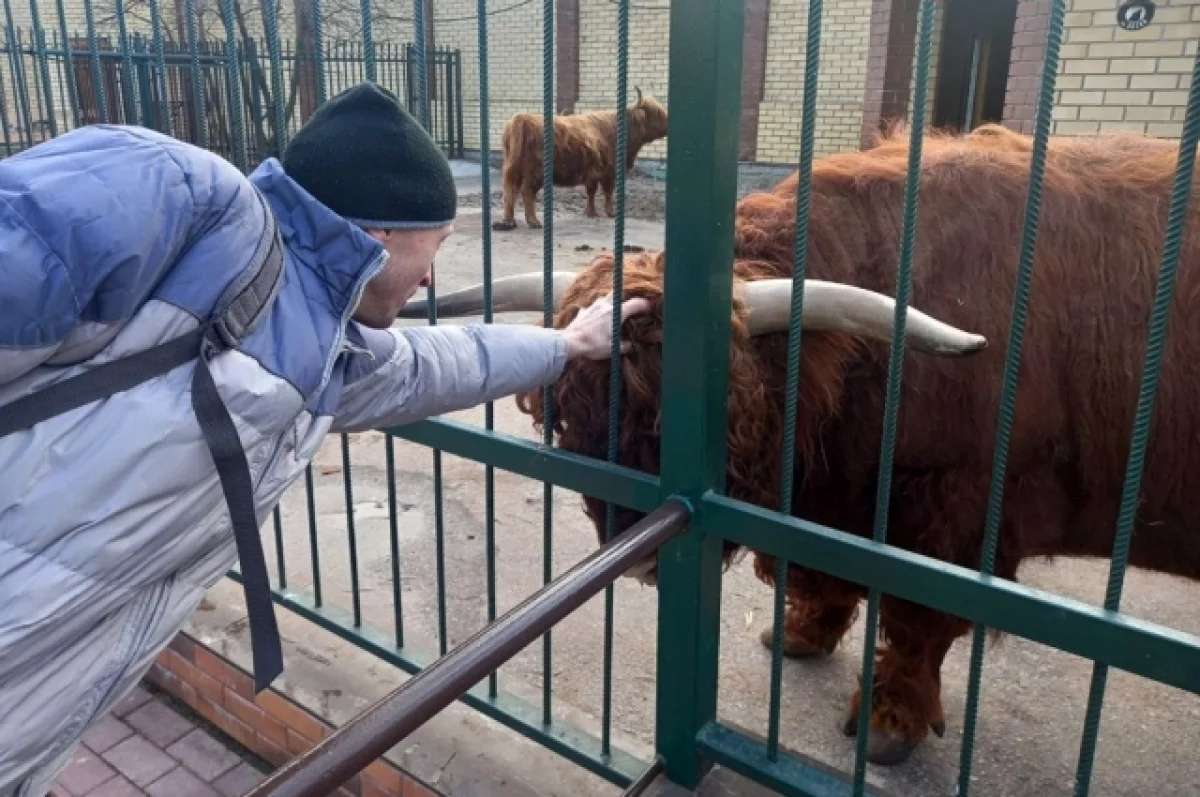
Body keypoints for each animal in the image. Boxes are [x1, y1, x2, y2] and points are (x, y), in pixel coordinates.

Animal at [398, 124, 1200, 768]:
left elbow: (916, 622)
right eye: (571, 422)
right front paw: (802, 632)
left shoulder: (953, 514)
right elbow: (822, 572)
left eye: (721, 421)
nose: (643, 553)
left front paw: (888, 721)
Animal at [492, 88, 672, 230]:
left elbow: (591, 192)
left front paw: (591, 212)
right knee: (526, 192)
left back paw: (509, 221)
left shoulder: (592, 172)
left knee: (510, 191)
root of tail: (521, 118)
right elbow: (607, 192)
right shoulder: (609, 171)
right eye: (657, 112)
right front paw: (610, 212)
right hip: (534, 172)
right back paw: (533, 221)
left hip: (513, 169)